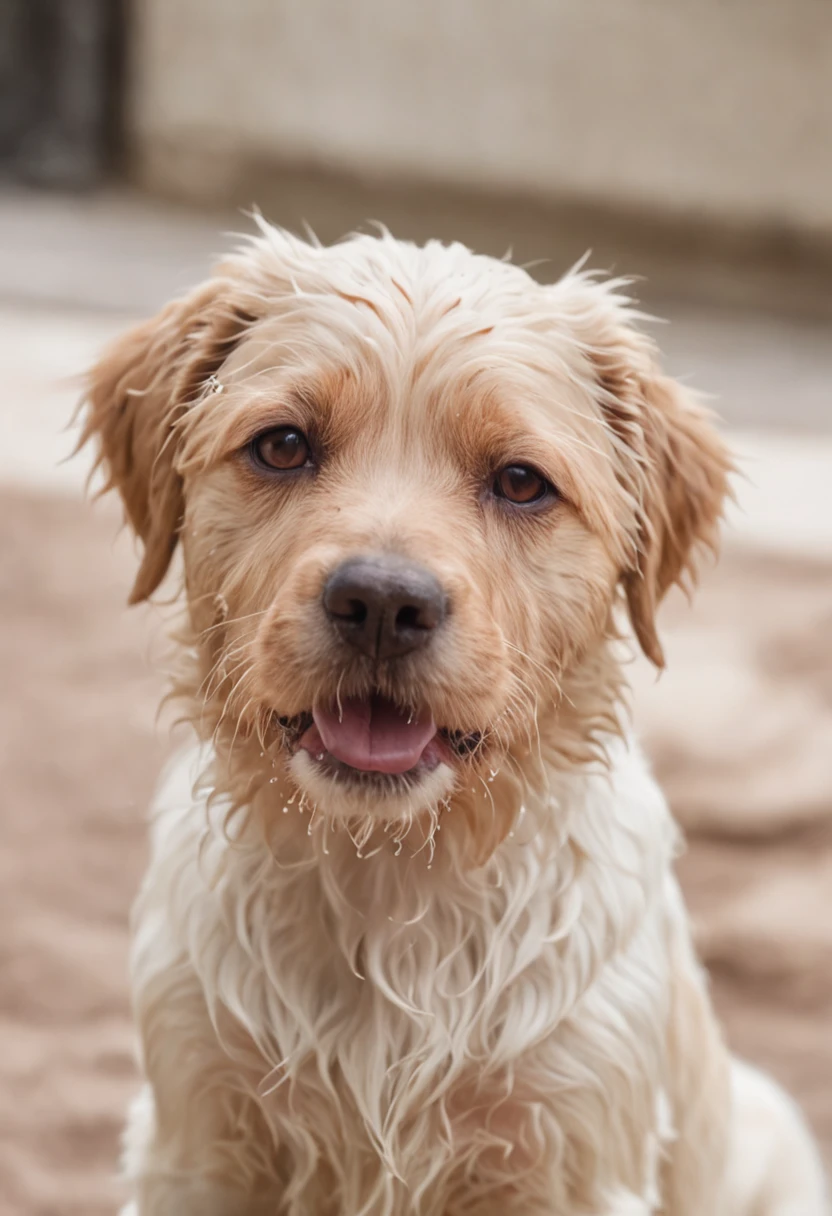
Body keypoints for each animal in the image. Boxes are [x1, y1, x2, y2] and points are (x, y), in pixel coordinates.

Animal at [82, 223, 827, 1211]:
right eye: (282, 446)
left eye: (520, 481)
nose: (381, 603)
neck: (388, 875)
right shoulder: (196, 1139)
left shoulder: (572, 1158)